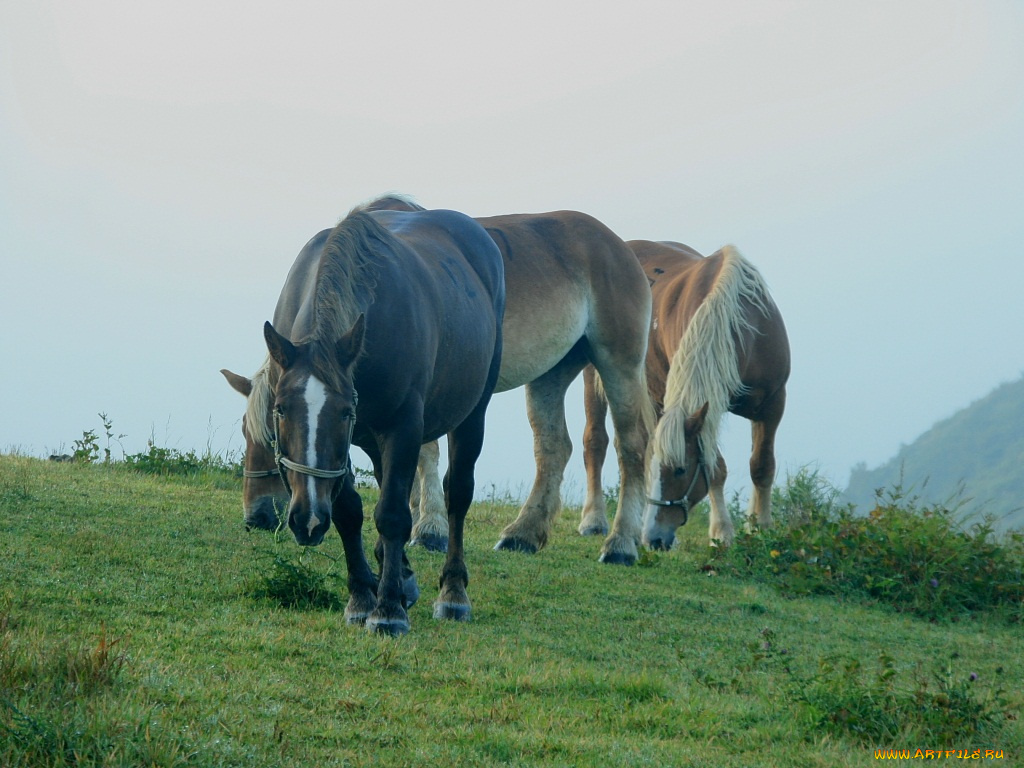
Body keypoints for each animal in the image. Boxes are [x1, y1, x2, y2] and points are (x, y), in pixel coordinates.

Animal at [226, 192, 655, 565]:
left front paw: (428, 528)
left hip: (617, 360)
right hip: (552, 373)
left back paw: (621, 543)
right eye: (257, 429)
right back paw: (524, 533)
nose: (256, 516)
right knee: (553, 448)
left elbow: (425, 456)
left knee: (632, 444)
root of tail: (620, 247)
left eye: (270, 434)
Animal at [240, 205, 503, 638]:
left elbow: (392, 513)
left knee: (457, 494)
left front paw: (387, 610)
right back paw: (401, 580)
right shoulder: (347, 448)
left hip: (472, 414)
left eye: (345, 411)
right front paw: (363, 598)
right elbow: (351, 511)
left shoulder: (403, 427)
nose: (306, 520)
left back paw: (452, 593)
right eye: (280, 409)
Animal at [581, 240, 786, 548]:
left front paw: (759, 527)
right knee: (595, 440)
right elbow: (716, 468)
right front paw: (722, 531)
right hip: (595, 375)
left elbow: (762, 466)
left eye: (679, 470)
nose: (653, 538)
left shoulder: (772, 404)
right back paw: (593, 519)